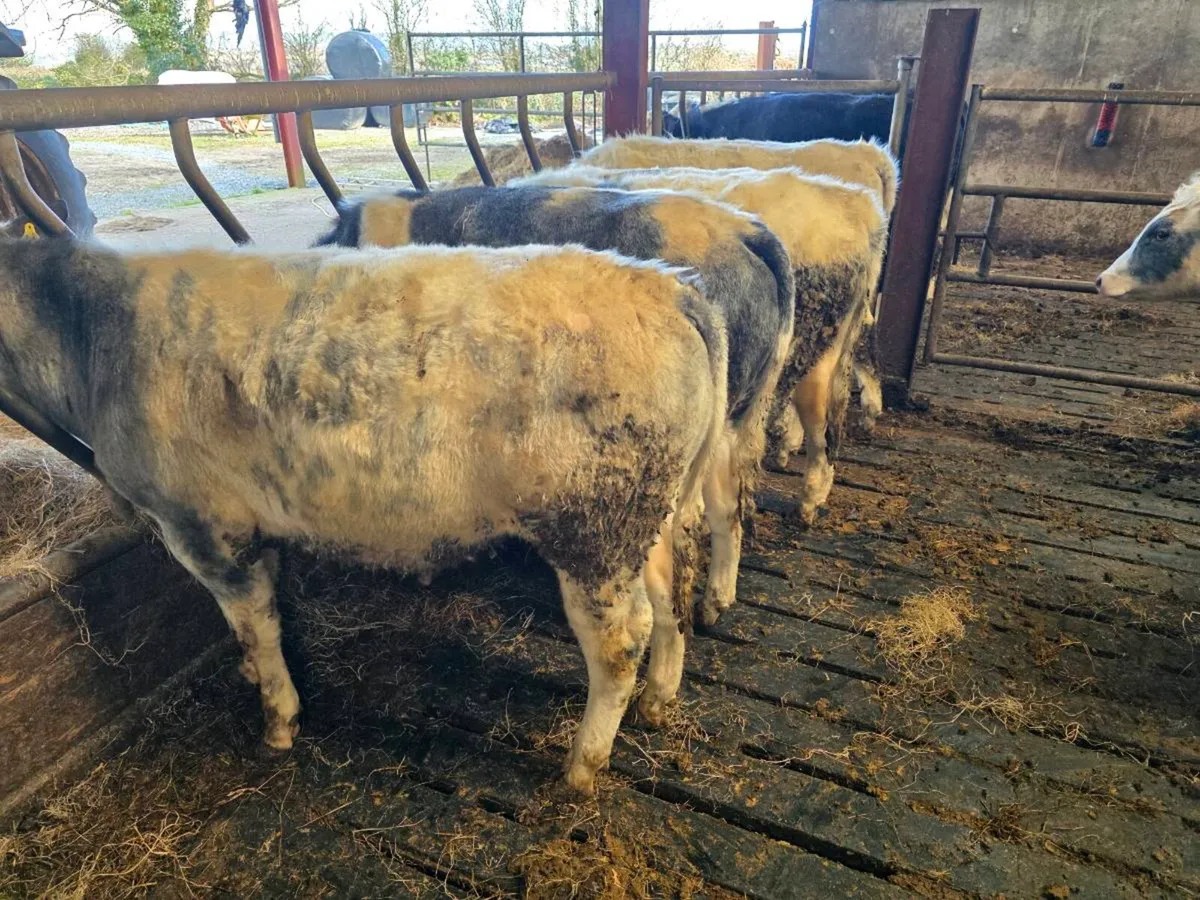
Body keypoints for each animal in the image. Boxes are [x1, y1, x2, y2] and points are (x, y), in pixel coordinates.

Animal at [0, 238, 728, 795]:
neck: (91, 337)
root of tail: (670, 286)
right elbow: (260, 619)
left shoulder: (202, 525)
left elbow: (254, 622)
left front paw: (278, 719)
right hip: (650, 514)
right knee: (671, 593)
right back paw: (658, 701)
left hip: (594, 529)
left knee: (621, 638)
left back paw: (581, 767)